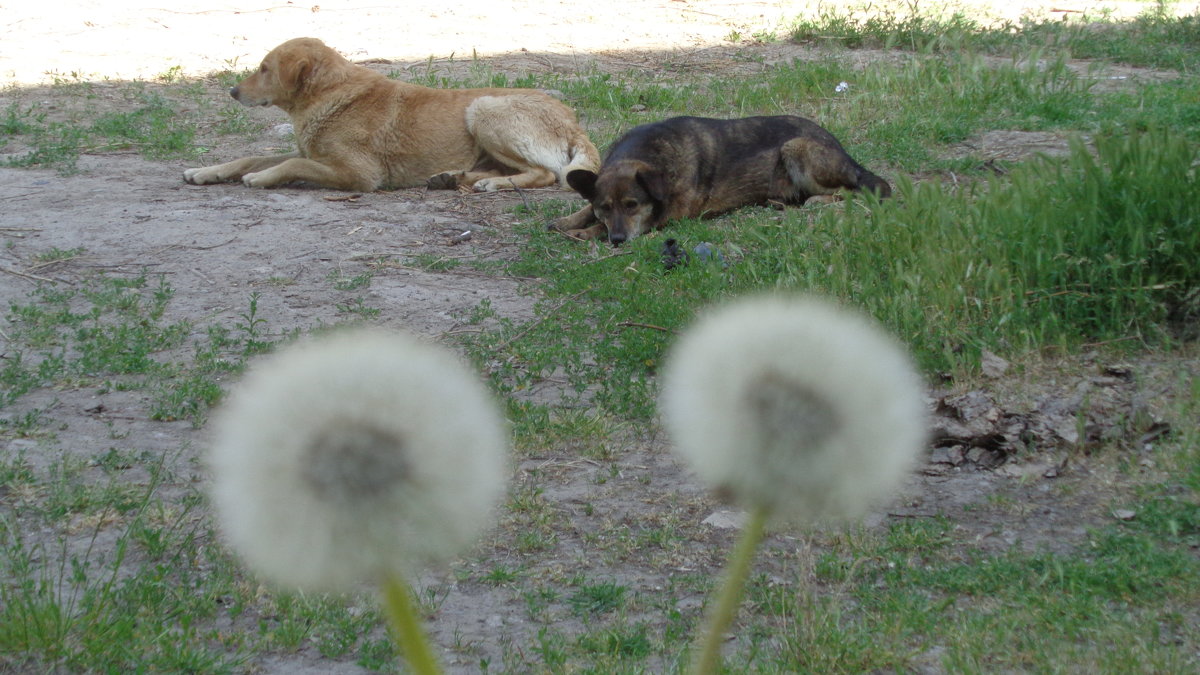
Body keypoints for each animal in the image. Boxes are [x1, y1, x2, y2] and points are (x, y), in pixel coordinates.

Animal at [182, 37, 600, 192]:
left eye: (265, 69)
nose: (232, 91)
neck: (330, 94)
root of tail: (574, 122)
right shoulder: (313, 154)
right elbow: (251, 156)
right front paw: (207, 171)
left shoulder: (359, 174)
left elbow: (289, 166)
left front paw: (261, 178)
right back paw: (454, 177)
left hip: (483, 108)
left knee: (545, 174)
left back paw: (492, 184)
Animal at [552, 114, 892, 243]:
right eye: (606, 207)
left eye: (633, 204)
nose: (618, 240)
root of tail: (842, 148)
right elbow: (585, 207)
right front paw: (569, 220)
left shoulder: (671, 215)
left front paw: (586, 231)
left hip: (797, 147)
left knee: (860, 189)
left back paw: (818, 199)